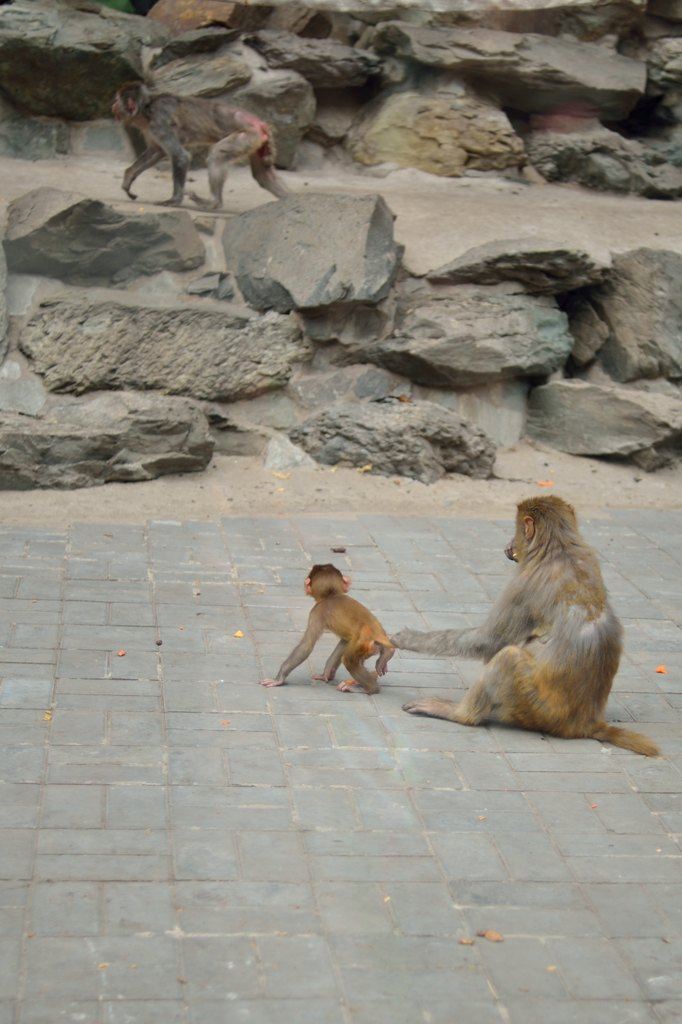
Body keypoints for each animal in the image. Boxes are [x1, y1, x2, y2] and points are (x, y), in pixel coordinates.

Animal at [258, 565, 393, 692]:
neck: (332, 595)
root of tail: (380, 636)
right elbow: (345, 641)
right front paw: (326, 674)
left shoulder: (316, 611)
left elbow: (306, 646)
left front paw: (278, 680)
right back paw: (385, 657)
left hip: (365, 645)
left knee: (348, 660)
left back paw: (369, 688)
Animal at [395, 495, 655, 761]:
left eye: (517, 530)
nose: (509, 544)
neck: (560, 547)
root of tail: (585, 724)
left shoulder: (524, 584)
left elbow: (489, 641)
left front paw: (409, 639)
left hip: (531, 707)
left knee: (508, 657)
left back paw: (460, 714)